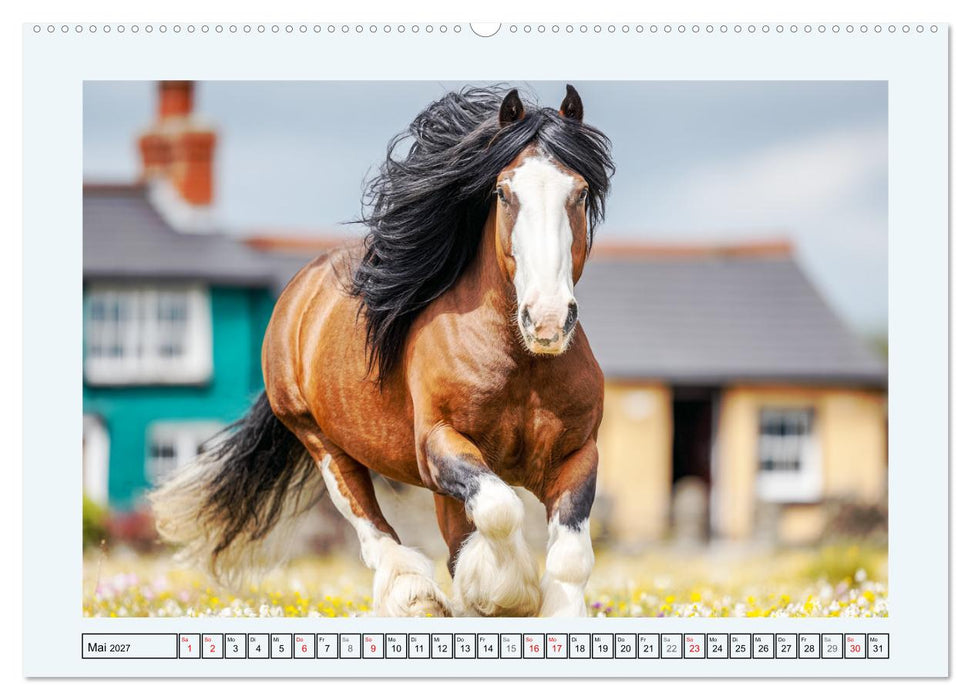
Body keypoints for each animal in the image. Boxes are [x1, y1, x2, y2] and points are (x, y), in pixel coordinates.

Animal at [150, 85, 615, 617]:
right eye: (503, 192)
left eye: (579, 192)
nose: (547, 319)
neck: (521, 366)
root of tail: (298, 293)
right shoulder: (438, 443)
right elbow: (499, 510)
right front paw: (505, 594)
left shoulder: (577, 454)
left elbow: (570, 555)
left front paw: (545, 608)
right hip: (322, 442)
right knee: (371, 524)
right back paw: (417, 597)